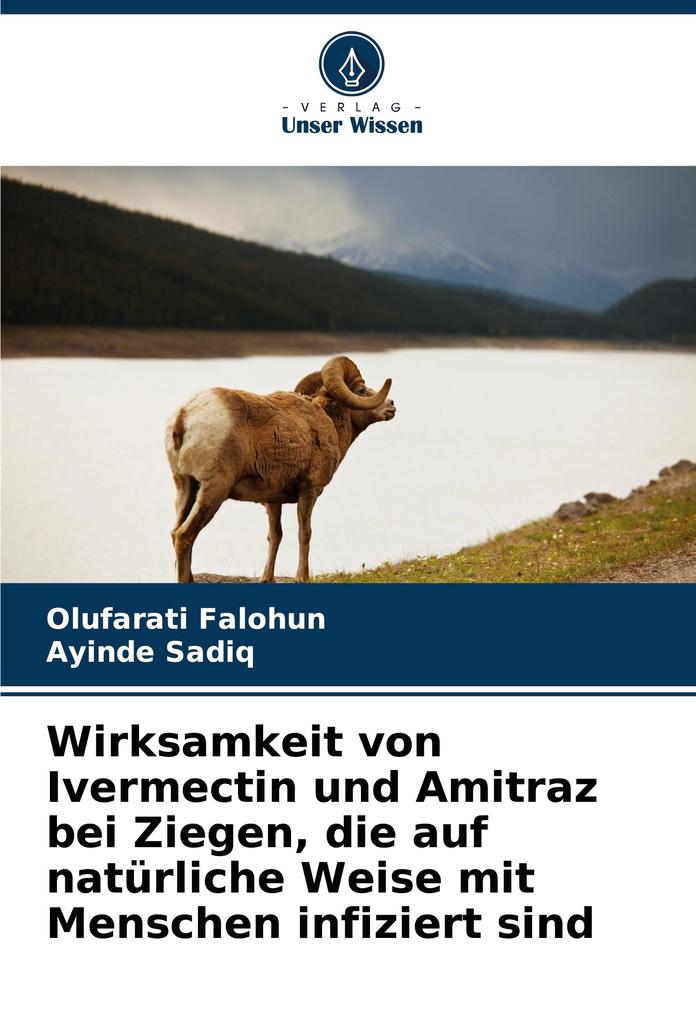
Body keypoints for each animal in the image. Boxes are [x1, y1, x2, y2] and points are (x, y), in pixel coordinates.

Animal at [165, 355, 396, 583]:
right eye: (361, 390)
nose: (392, 405)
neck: (328, 421)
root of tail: (184, 416)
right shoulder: (309, 491)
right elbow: (304, 533)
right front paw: (303, 578)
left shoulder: (272, 500)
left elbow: (275, 535)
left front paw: (267, 579)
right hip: (213, 490)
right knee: (185, 535)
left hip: (185, 488)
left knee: (175, 531)